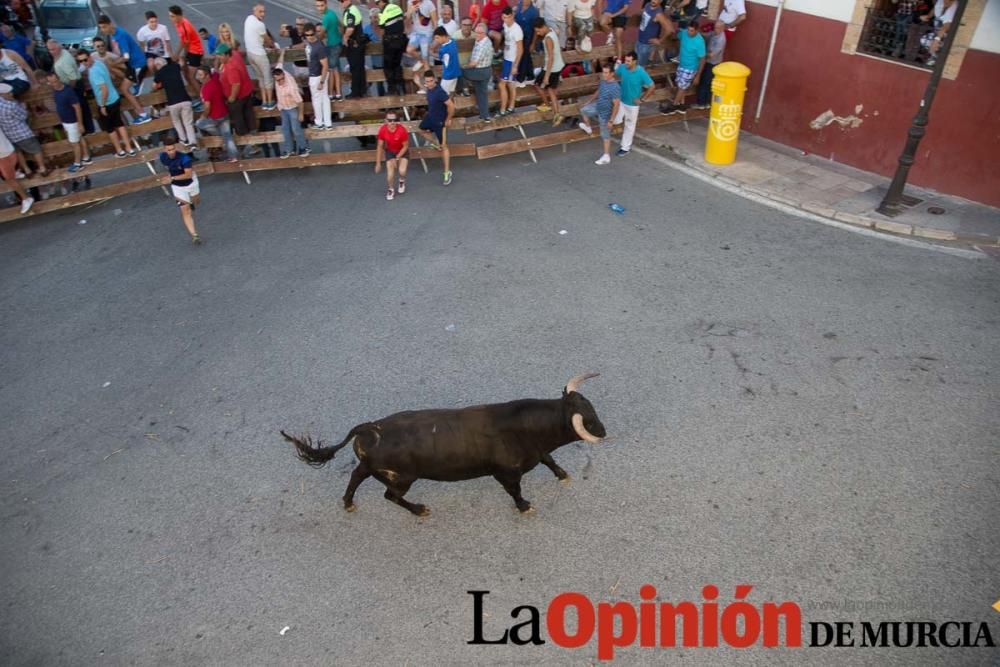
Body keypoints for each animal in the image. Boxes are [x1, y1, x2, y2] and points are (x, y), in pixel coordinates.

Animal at [284, 376, 608, 516]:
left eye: (592, 408)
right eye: (589, 421)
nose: (604, 432)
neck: (527, 426)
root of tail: (367, 427)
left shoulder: (537, 452)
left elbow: (549, 459)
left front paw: (563, 475)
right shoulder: (505, 473)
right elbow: (515, 491)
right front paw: (524, 506)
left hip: (371, 467)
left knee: (356, 476)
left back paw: (348, 503)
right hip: (403, 478)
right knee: (390, 495)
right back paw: (418, 510)